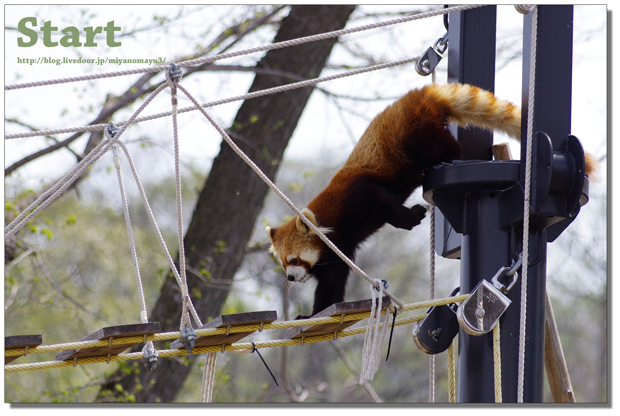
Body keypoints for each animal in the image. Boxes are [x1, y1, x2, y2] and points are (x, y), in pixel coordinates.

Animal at [264, 83, 600, 318]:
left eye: (294, 259)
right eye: (283, 262)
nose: (291, 277)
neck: (332, 226)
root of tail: (420, 93)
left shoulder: (358, 193)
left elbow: (383, 201)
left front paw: (412, 216)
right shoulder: (338, 251)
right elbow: (331, 286)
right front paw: (313, 314)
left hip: (414, 133)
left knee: (441, 147)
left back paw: (452, 158)